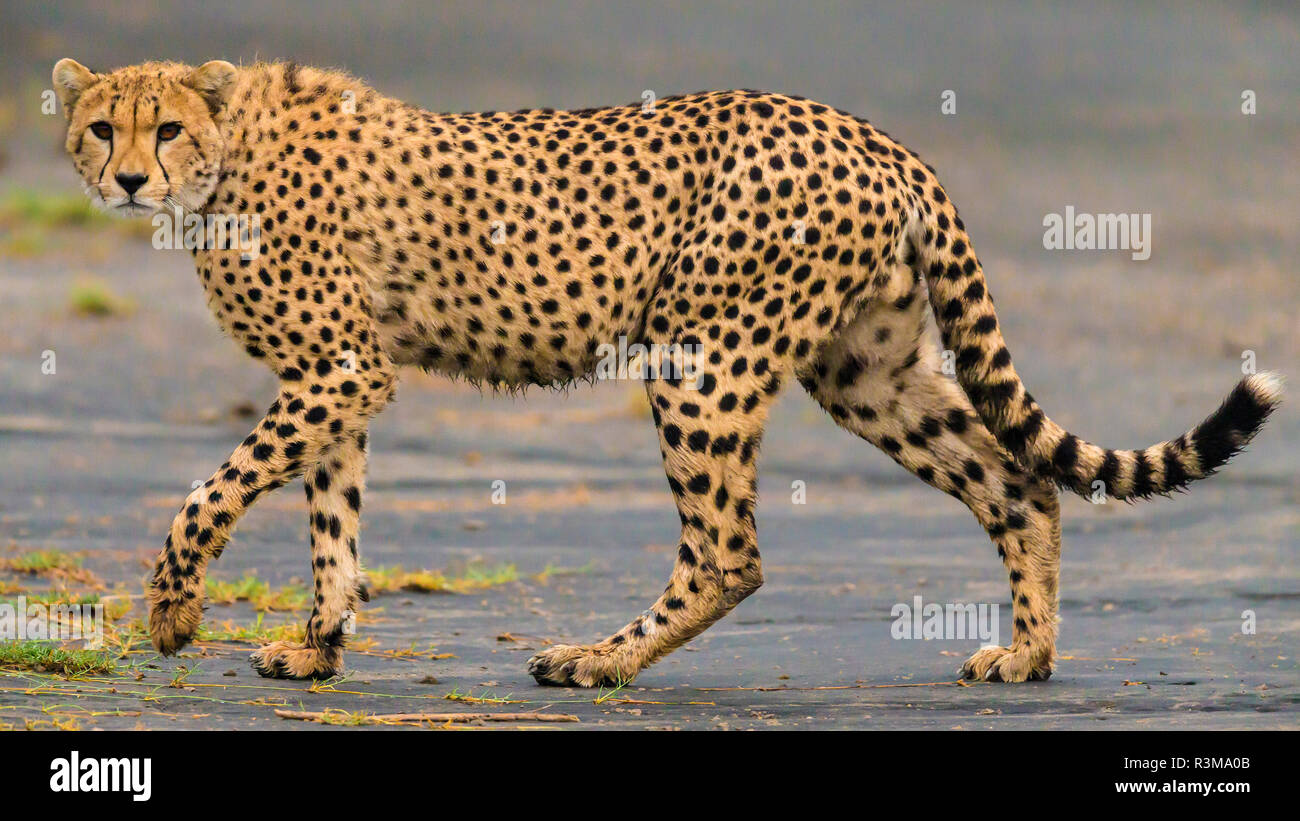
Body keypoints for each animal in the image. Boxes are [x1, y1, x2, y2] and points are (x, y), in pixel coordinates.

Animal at [53, 59, 1279, 685]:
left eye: (163, 128)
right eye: (100, 127)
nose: (124, 178)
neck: (228, 150)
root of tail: (873, 133)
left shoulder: (340, 371)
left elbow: (208, 494)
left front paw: (172, 613)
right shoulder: (337, 382)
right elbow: (331, 525)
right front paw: (318, 643)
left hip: (702, 357)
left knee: (729, 552)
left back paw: (597, 660)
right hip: (866, 370)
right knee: (1017, 481)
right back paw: (1025, 654)